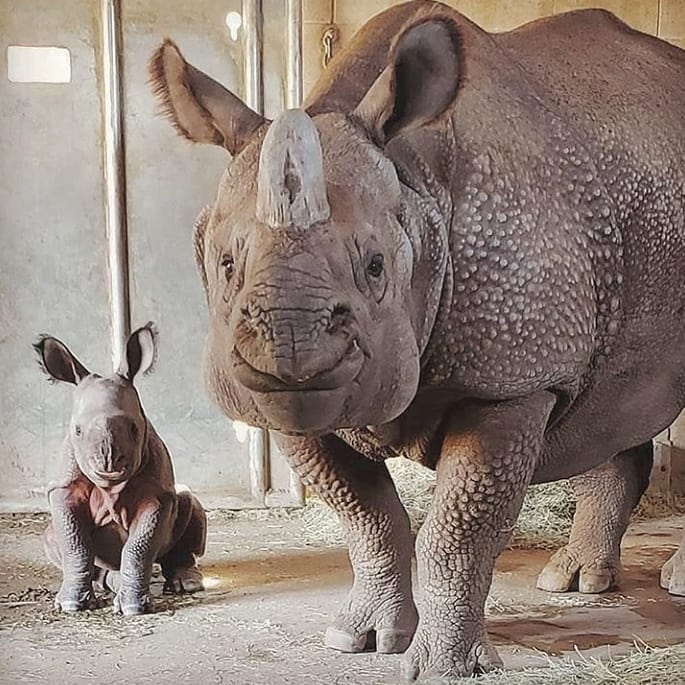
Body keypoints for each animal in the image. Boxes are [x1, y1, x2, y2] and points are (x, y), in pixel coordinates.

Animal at [37, 323, 206, 615]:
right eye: (77, 431)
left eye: (134, 428)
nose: (108, 461)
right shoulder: (64, 488)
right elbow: (75, 544)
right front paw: (70, 604)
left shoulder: (157, 493)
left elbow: (140, 547)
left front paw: (134, 607)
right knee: (55, 538)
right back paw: (109, 582)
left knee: (188, 502)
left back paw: (187, 584)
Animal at [148, 0, 685, 679]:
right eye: (225, 265)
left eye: (376, 266)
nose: (290, 359)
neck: (417, 184)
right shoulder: (290, 411)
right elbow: (368, 518)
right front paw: (362, 639)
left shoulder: (512, 381)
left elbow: (457, 534)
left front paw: (445, 668)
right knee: (614, 401)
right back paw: (575, 580)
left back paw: (669, 583)